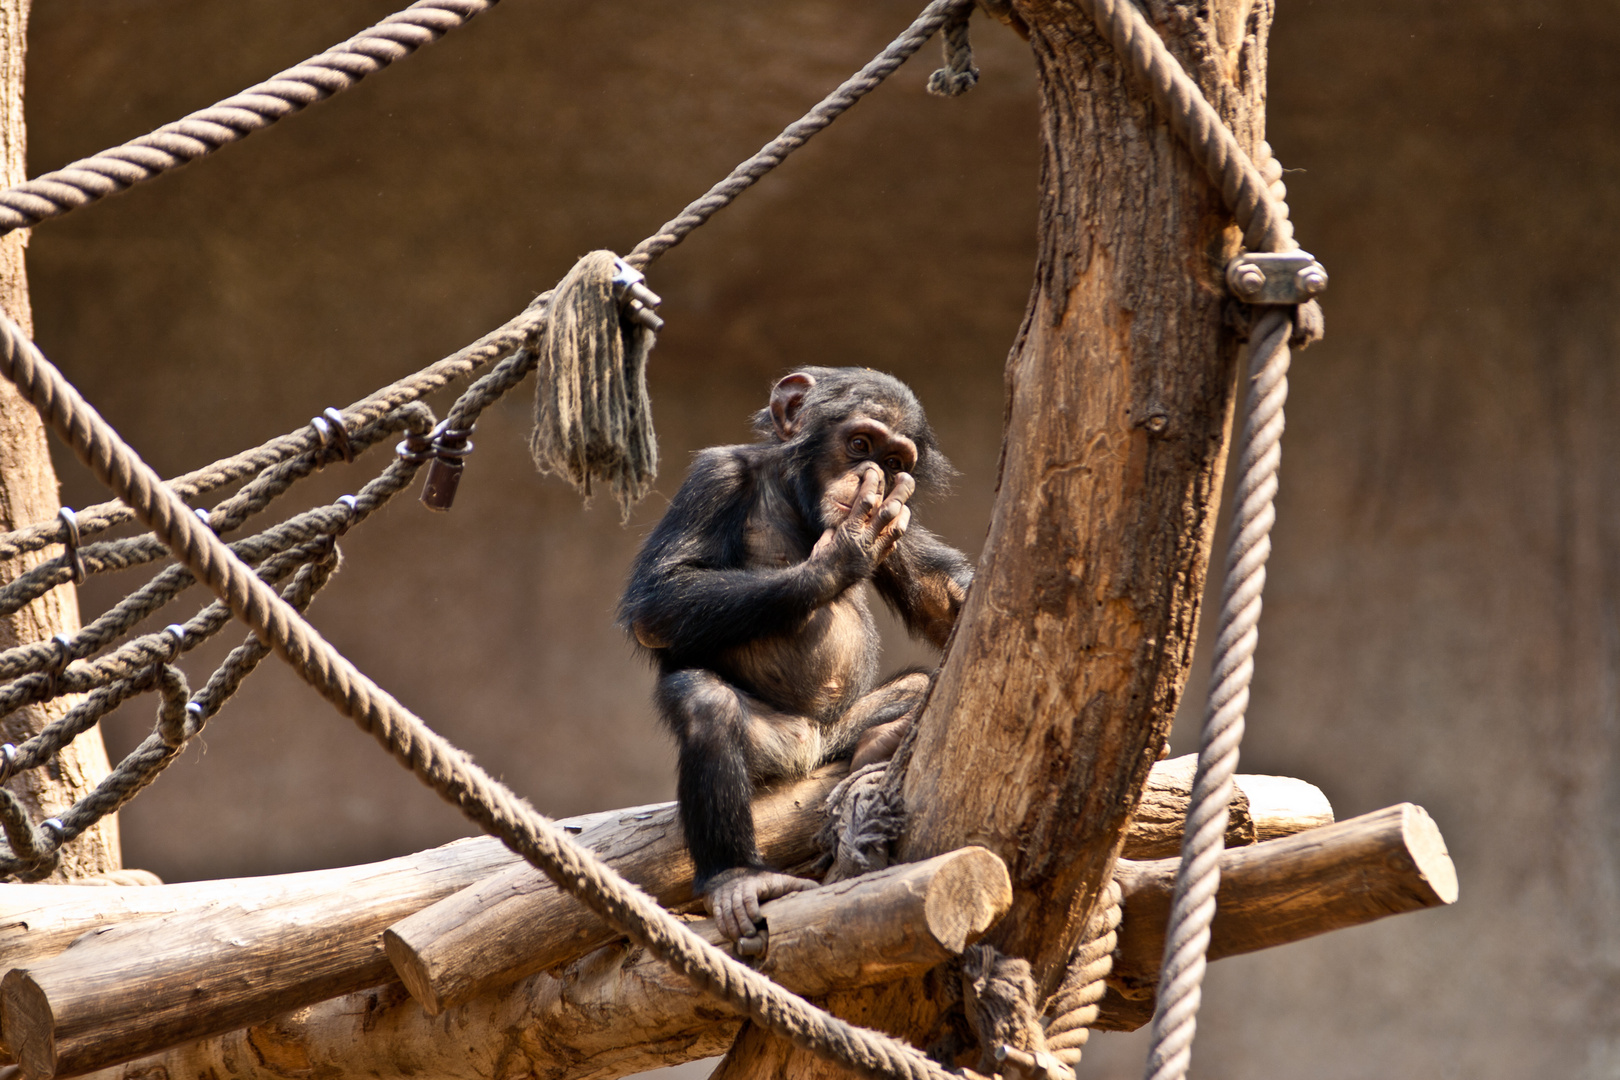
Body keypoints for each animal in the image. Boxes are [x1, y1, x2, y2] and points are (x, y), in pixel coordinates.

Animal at [618, 367, 972, 952]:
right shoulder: (714, 479)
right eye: (859, 445)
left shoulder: (899, 515)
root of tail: (812, 747)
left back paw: (882, 741)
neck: (793, 493)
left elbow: (940, 598)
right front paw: (844, 551)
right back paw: (737, 878)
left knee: (919, 687)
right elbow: (660, 595)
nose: (873, 476)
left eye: (895, 462)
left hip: (841, 731)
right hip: (773, 747)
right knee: (706, 704)